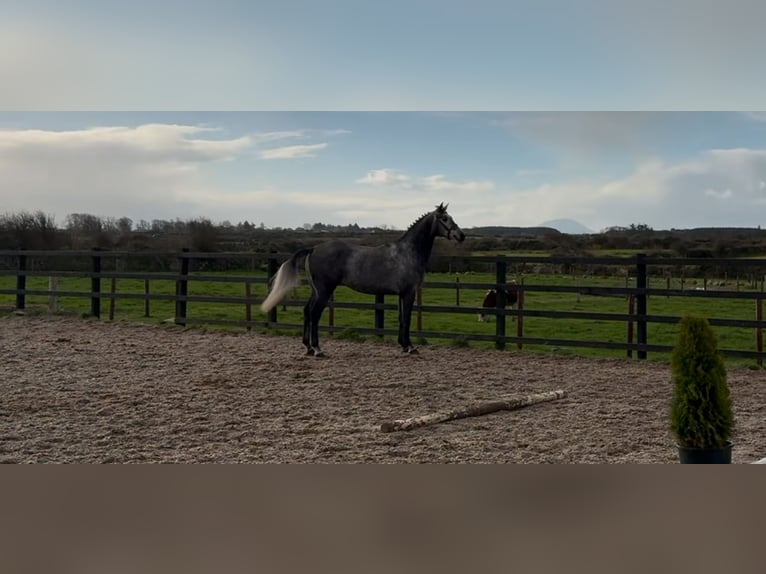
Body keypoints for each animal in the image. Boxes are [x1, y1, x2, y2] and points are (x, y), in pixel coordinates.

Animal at [262, 202, 468, 356]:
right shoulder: (409, 293)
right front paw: (410, 347)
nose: (461, 235)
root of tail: (313, 249)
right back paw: (317, 349)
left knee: (306, 312)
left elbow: (401, 318)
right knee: (314, 314)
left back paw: (308, 347)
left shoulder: (401, 294)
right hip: (325, 291)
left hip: (316, 290)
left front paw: (403, 345)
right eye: (444, 219)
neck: (408, 253)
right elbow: (407, 319)